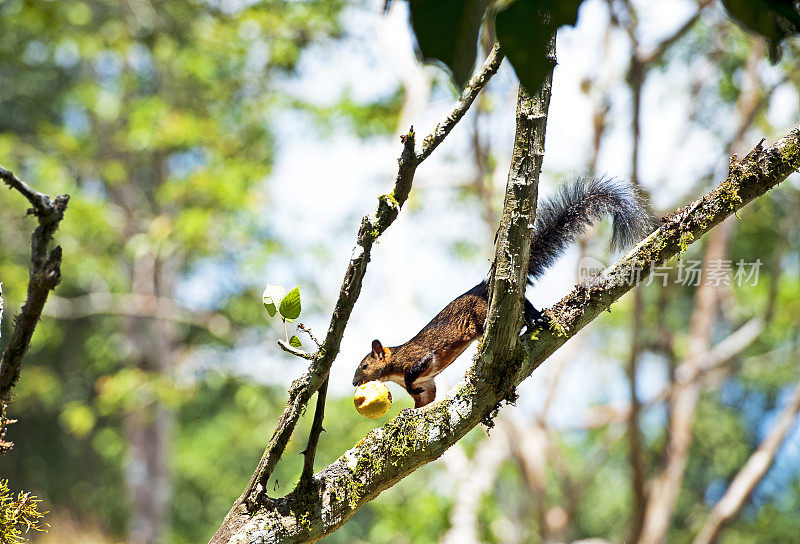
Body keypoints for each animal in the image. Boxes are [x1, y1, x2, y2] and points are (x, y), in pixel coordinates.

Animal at [354, 178, 652, 408]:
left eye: (364, 366)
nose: (354, 382)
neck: (394, 365)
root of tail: (487, 286)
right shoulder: (428, 383)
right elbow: (425, 399)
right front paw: (408, 412)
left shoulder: (417, 359)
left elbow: (414, 371)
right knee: (525, 304)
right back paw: (535, 318)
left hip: (481, 310)